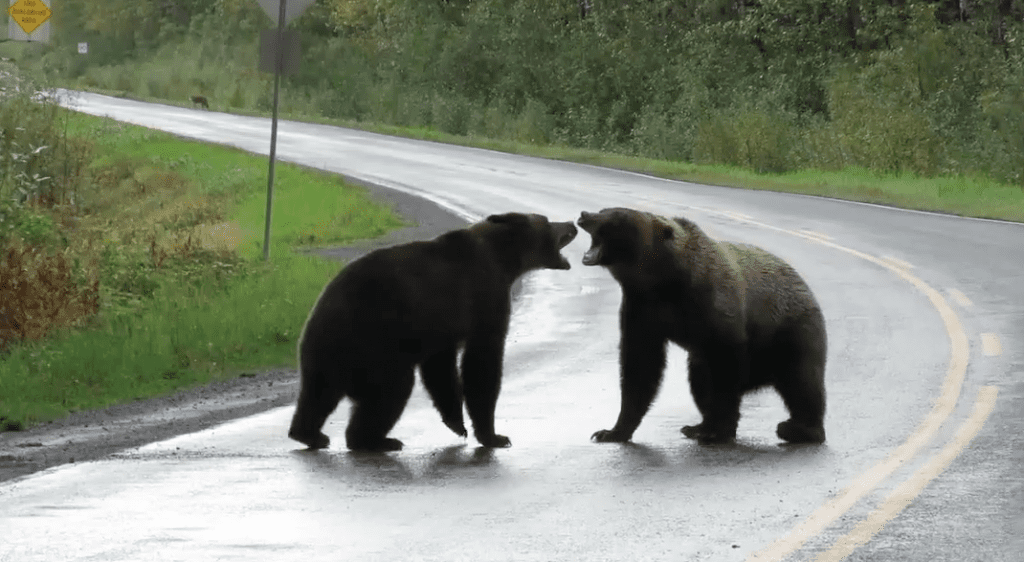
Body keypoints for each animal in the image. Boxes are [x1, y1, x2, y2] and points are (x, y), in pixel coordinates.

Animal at [288, 212, 578, 451]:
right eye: (547, 221)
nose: (572, 223)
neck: (504, 259)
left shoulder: (441, 327)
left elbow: (441, 369)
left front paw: (457, 423)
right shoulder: (484, 295)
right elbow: (481, 362)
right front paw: (494, 436)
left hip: (326, 351)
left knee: (317, 395)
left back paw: (309, 434)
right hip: (374, 342)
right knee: (392, 389)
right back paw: (375, 440)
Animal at [576, 207, 827, 445]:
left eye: (616, 216)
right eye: (604, 209)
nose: (585, 215)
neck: (664, 280)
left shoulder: (714, 303)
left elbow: (725, 365)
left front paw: (720, 430)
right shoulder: (642, 309)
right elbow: (640, 365)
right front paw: (611, 431)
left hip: (791, 331)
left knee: (802, 383)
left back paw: (799, 429)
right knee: (699, 379)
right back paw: (697, 427)